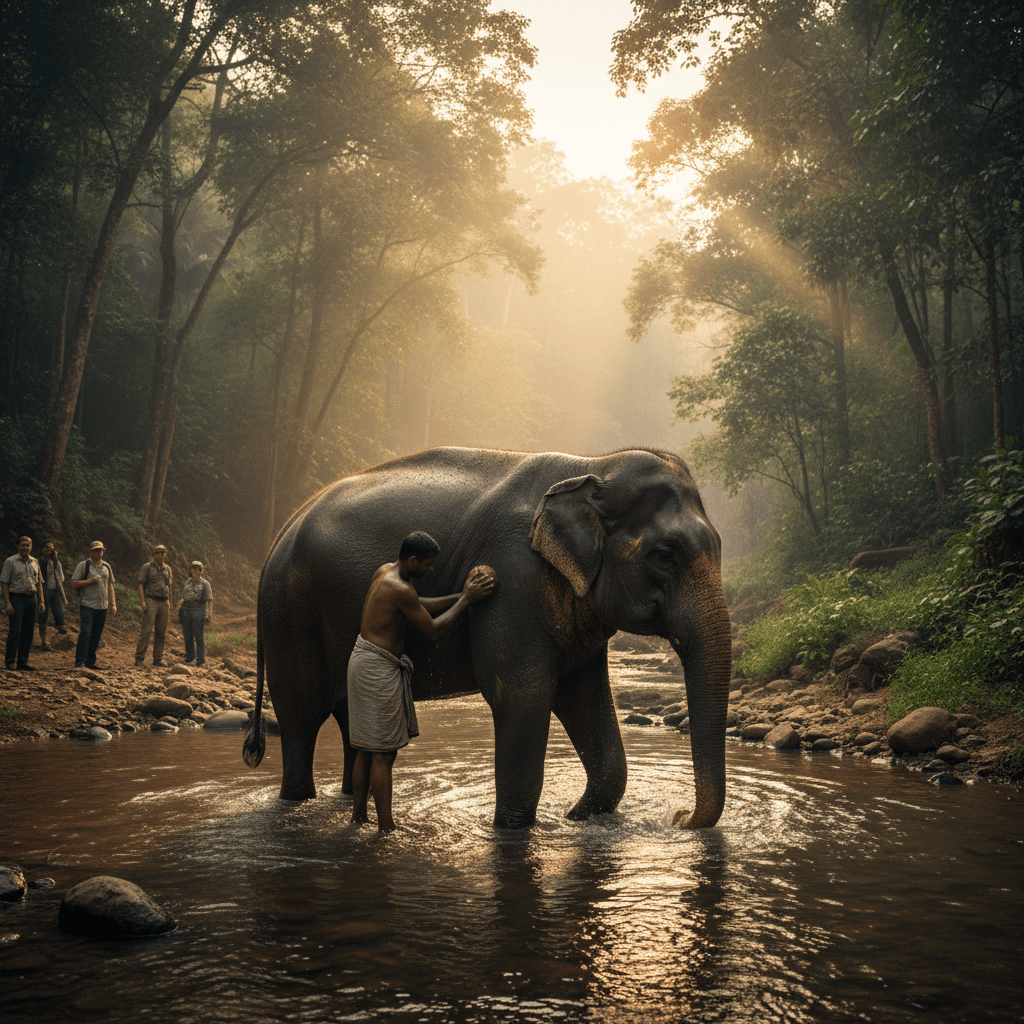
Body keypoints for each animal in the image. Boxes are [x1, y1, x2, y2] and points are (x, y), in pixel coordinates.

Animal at [243, 446, 732, 829]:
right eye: (665, 556)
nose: (678, 817)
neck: (593, 465)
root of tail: (280, 534)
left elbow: (585, 699)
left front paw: (579, 819)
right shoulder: (516, 580)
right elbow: (522, 696)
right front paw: (515, 829)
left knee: (352, 726)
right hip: (291, 612)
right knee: (301, 715)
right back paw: (297, 801)